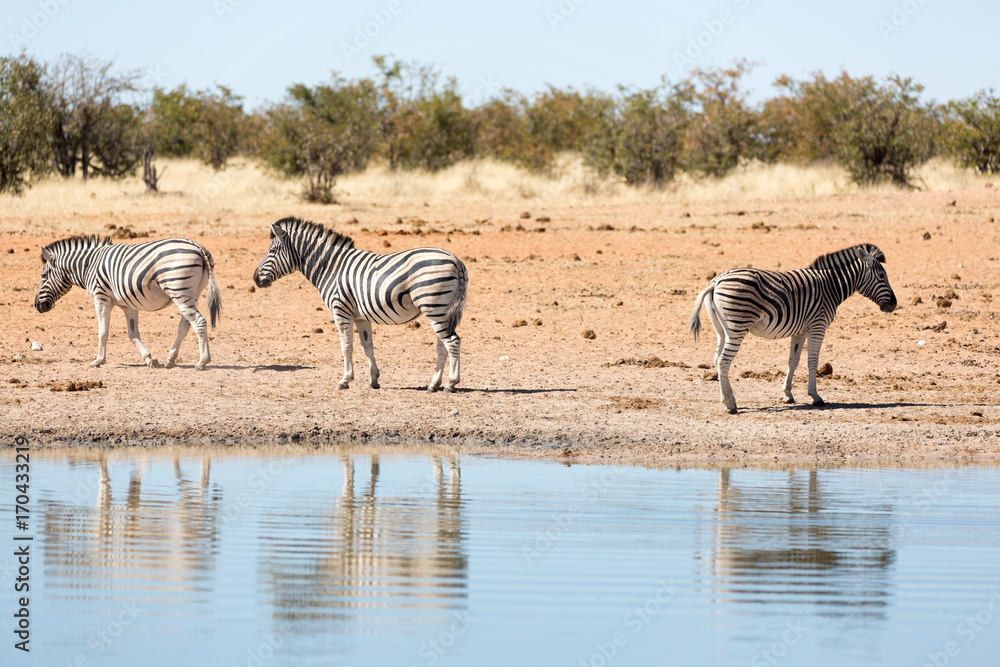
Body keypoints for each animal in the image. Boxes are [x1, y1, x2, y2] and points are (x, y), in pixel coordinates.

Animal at [34, 235, 222, 370]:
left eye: (43, 276)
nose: (37, 306)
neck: (89, 266)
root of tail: (198, 246)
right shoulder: (129, 305)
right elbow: (133, 334)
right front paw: (149, 359)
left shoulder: (101, 298)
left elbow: (102, 332)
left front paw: (98, 360)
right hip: (192, 294)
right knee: (185, 325)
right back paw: (170, 358)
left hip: (178, 290)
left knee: (199, 322)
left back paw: (202, 362)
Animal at [252, 217, 468, 391]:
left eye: (272, 250)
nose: (255, 278)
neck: (331, 267)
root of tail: (456, 260)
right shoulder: (361, 317)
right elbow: (367, 347)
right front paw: (374, 380)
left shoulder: (341, 312)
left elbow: (346, 347)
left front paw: (345, 380)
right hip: (441, 311)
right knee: (442, 346)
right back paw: (433, 384)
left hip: (434, 307)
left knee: (453, 342)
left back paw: (451, 384)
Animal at [689, 244, 897, 414]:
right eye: (881, 276)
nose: (894, 305)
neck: (830, 286)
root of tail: (716, 281)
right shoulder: (817, 327)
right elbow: (812, 361)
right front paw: (815, 397)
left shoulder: (800, 331)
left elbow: (793, 361)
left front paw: (787, 395)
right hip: (737, 328)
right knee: (723, 361)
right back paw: (730, 404)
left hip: (721, 330)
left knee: (716, 359)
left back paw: (726, 398)